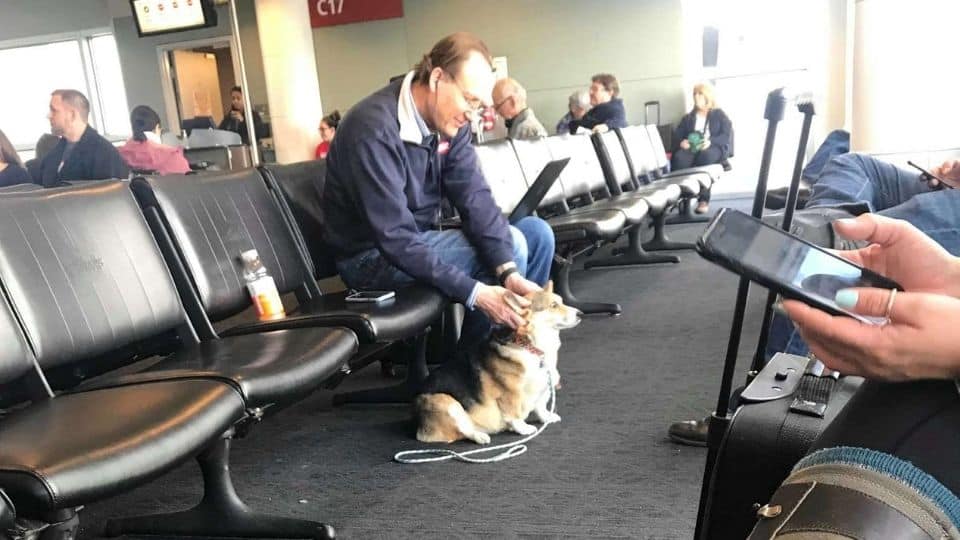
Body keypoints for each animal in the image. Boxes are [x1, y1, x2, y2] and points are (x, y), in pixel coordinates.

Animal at [410, 282, 576, 442]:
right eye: (553, 305)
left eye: (561, 301)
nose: (579, 314)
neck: (529, 346)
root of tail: (418, 425)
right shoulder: (511, 393)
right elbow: (514, 414)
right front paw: (523, 428)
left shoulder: (543, 387)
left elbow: (541, 406)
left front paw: (548, 417)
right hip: (447, 403)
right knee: (463, 430)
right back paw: (480, 436)